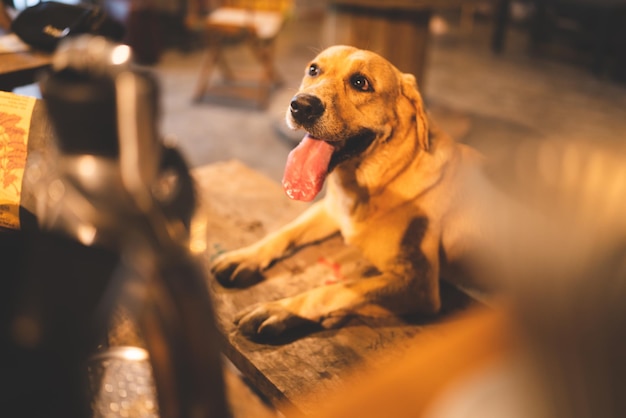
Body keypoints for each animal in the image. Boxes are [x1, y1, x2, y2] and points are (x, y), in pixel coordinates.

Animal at [210, 45, 498, 340]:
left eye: (361, 83)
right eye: (313, 69)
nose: (301, 106)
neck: (378, 181)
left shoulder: (418, 285)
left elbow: (337, 290)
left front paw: (281, 310)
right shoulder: (329, 210)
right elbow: (285, 232)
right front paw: (246, 256)